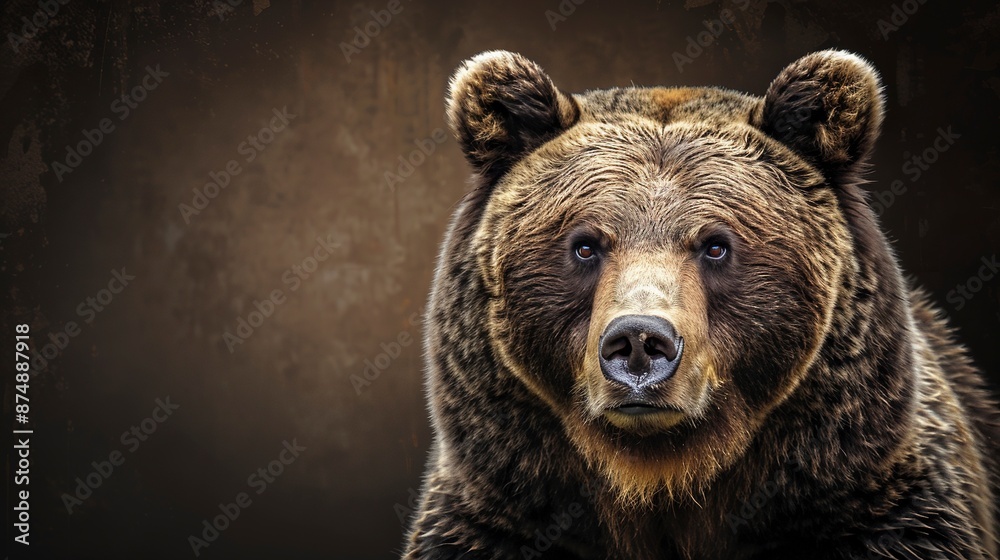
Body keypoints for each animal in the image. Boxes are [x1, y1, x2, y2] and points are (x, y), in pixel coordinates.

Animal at [401, 49, 1000, 559]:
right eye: (585, 245)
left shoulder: (875, 512)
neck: (663, 481)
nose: (639, 342)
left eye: (716, 245)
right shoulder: (499, 521)